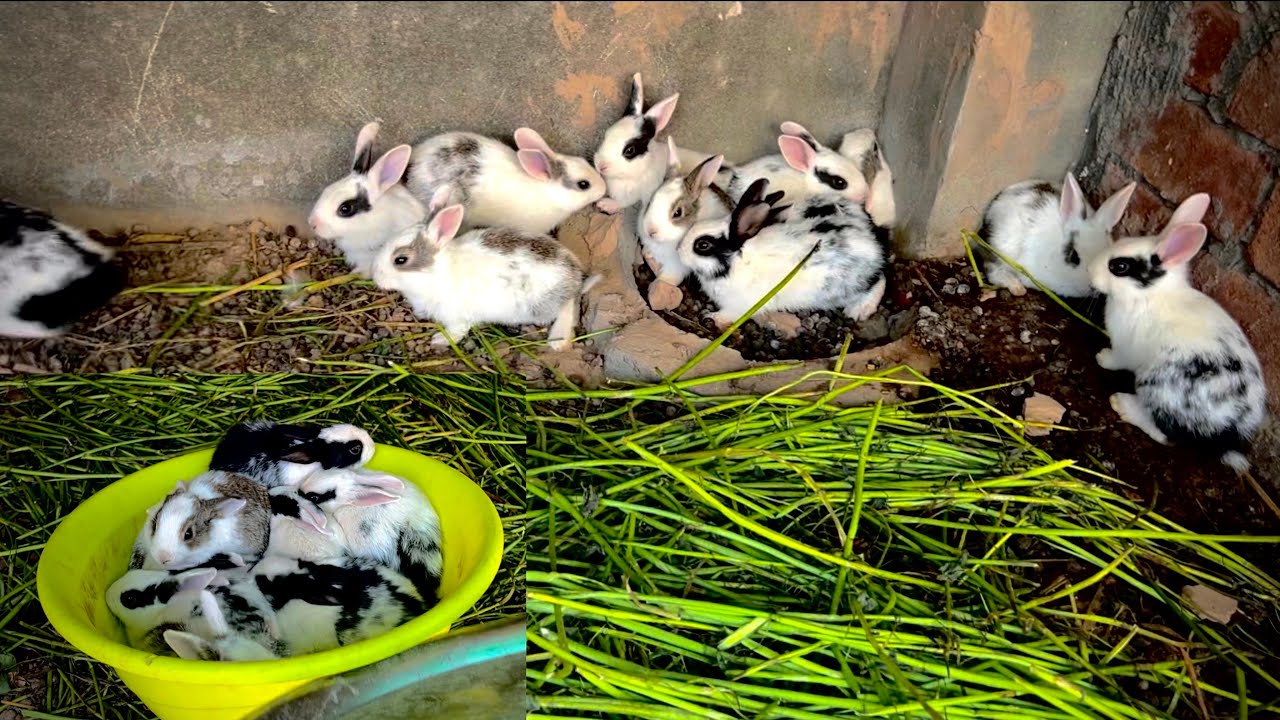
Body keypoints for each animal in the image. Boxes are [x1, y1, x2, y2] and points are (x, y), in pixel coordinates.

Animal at [370, 203, 600, 351]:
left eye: (400, 260)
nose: (376, 277)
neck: (436, 272)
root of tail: (574, 276)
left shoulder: (456, 317)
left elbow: (456, 332)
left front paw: (439, 340)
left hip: (541, 307)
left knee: (567, 307)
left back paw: (557, 341)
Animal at [636, 141, 735, 310]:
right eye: (651, 201)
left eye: (678, 213)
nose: (650, 231)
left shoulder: (676, 266)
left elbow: (668, 278)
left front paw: (657, 289)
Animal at [679, 179, 887, 330]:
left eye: (702, 245)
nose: (679, 250)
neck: (738, 263)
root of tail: (872, 239)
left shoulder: (739, 306)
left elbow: (728, 315)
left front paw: (712, 317)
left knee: (879, 281)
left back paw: (858, 311)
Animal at [1090, 193, 1268, 473]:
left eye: (1119, 266)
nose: (1089, 271)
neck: (1148, 296)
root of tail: (1230, 430)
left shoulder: (1126, 348)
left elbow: (1118, 359)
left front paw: (1102, 357)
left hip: (1158, 385)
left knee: (1166, 434)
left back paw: (1123, 404)